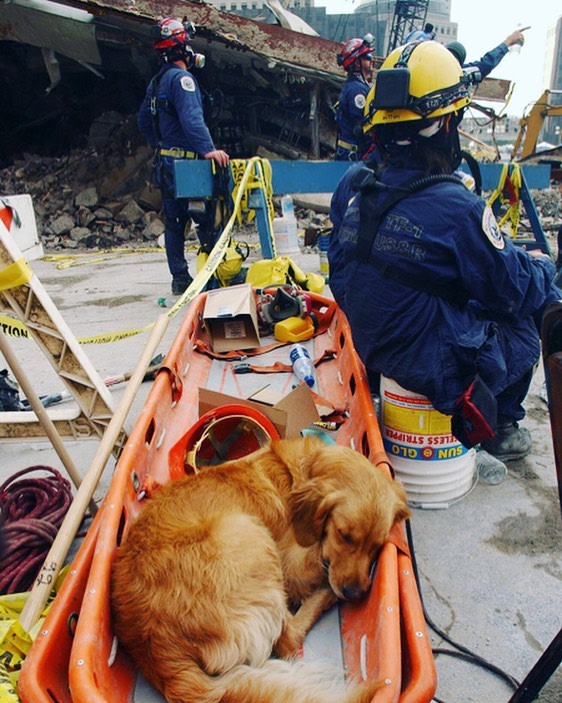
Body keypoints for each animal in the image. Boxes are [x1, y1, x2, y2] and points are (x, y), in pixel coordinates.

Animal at [110, 434, 406, 703]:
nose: (355, 594)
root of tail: (164, 661)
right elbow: (320, 567)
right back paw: (326, 594)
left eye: (377, 545)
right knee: (289, 638)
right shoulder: (293, 563)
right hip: (250, 534)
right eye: (344, 535)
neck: (302, 471)